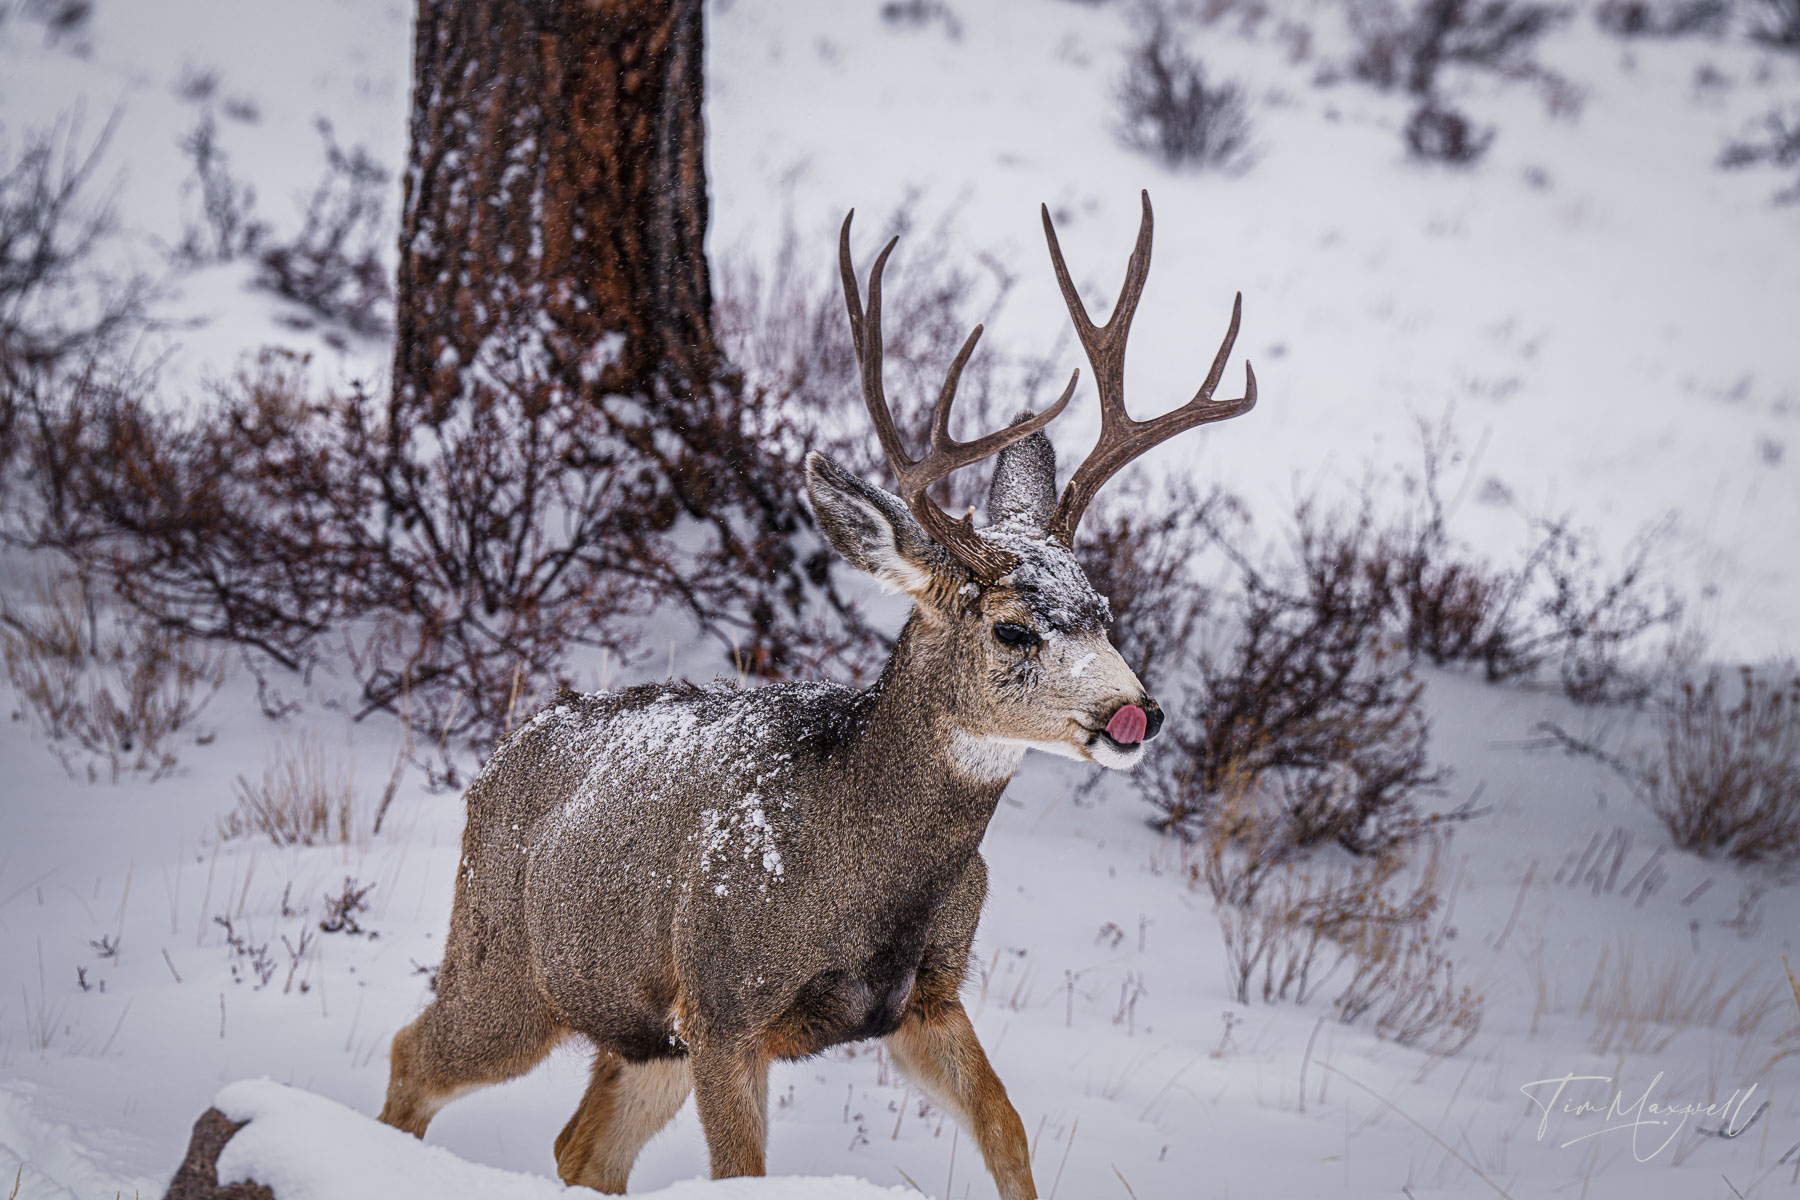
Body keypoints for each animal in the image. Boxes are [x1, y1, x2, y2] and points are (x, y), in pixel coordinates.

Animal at [377, 190, 1256, 1198]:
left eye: (1106, 610)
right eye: (1012, 629)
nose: (1136, 715)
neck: (864, 874)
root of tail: (494, 765)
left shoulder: (927, 998)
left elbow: (1008, 1128)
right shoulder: (724, 1005)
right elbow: (743, 1175)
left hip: (642, 1034)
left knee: (580, 1147)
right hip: (511, 964)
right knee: (414, 1055)